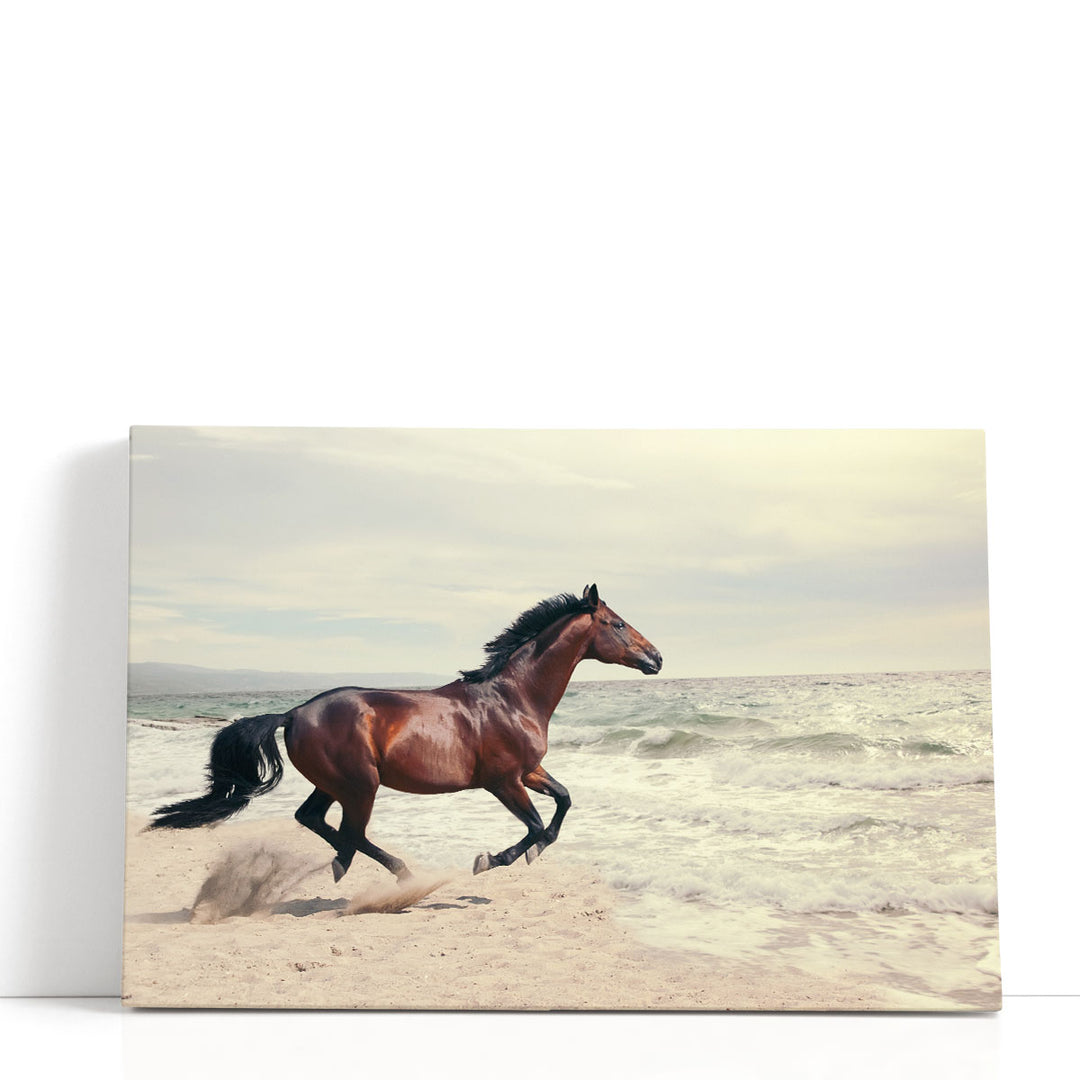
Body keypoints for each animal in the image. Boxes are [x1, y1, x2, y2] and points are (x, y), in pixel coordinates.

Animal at [148, 584, 662, 881]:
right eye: (617, 624)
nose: (656, 658)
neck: (512, 697)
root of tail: (293, 713)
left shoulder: (529, 771)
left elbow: (563, 804)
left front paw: (527, 854)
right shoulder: (503, 781)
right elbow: (536, 824)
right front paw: (491, 860)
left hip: (335, 784)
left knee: (317, 820)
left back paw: (362, 866)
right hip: (361, 784)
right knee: (349, 831)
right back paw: (387, 871)